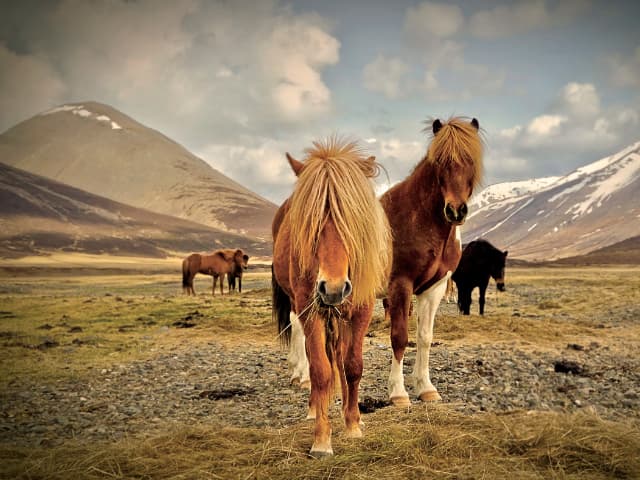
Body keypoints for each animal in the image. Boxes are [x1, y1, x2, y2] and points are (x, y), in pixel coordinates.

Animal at [272, 138, 391, 457]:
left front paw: (352, 424)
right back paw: (316, 407)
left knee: (340, 355)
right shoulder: (309, 309)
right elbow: (321, 371)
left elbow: (353, 366)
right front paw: (322, 440)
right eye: (310, 223)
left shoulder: (361, 308)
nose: (333, 288)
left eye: (354, 220)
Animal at [381, 117, 483, 406]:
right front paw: (398, 393)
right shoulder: (400, 285)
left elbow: (424, 337)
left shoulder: (434, 288)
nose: (456, 211)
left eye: (472, 160)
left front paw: (425, 388)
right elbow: (399, 337)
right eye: (440, 162)